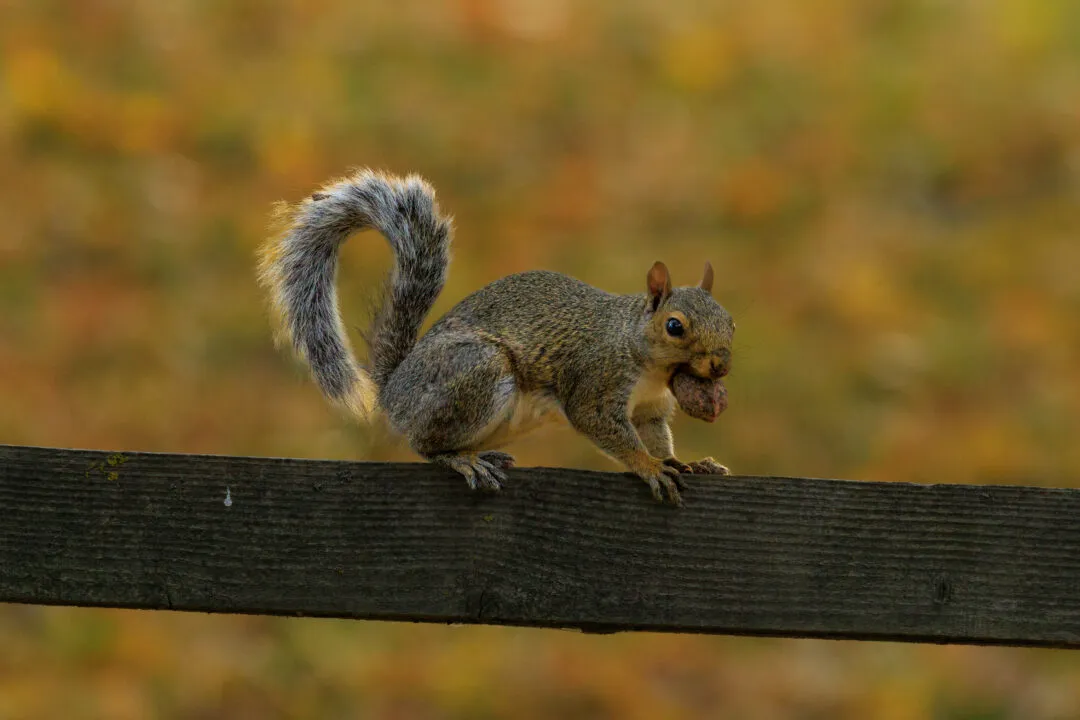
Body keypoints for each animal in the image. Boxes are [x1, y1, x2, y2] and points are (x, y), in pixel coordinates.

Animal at [257, 169, 734, 505]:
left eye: (731, 322)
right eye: (675, 326)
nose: (720, 365)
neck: (647, 363)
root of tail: (394, 390)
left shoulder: (651, 409)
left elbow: (655, 434)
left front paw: (683, 462)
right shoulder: (596, 382)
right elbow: (604, 427)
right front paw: (649, 466)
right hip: (477, 372)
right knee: (424, 444)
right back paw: (462, 460)